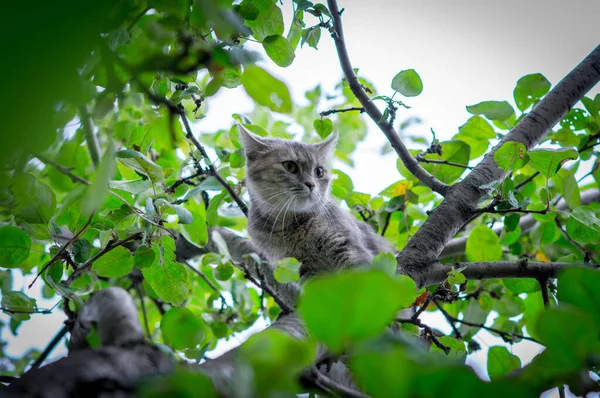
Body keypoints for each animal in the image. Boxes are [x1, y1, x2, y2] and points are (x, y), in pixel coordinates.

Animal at [239, 125, 394, 280]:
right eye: (290, 166)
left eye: (319, 171)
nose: (311, 184)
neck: (290, 226)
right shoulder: (306, 270)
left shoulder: (349, 248)